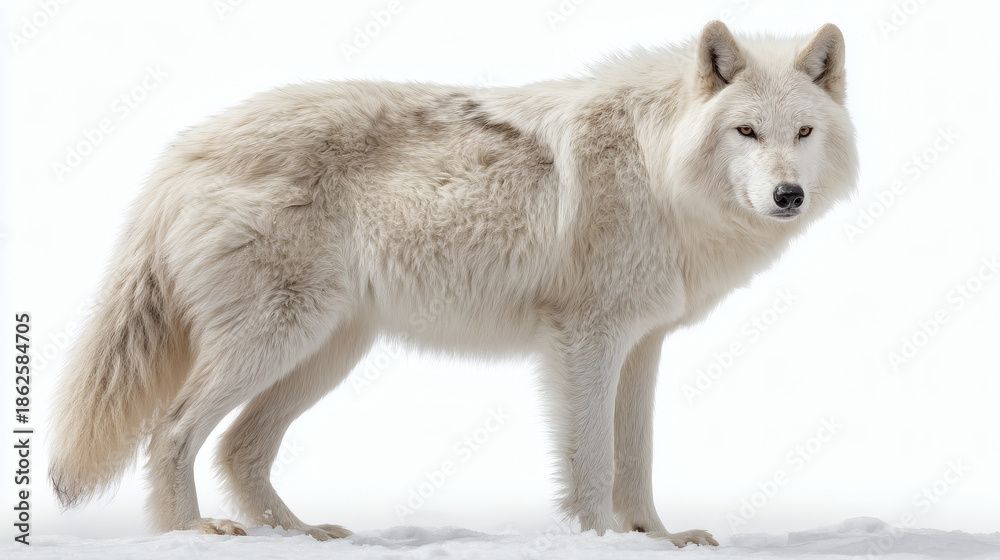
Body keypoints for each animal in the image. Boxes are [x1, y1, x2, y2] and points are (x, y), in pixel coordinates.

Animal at [49, 21, 857, 547]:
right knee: (173, 430)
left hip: (323, 353)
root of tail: (183, 149)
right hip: (276, 342)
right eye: (745, 132)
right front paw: (602, 539)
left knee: (238, 448)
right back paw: (192, 531)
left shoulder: (643, 343)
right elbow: (592, 459)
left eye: (804, 133)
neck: (657, 169)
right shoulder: (587, 340)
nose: (788, 195)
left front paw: (656, 537)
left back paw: (300, 534)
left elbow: (636, 455)